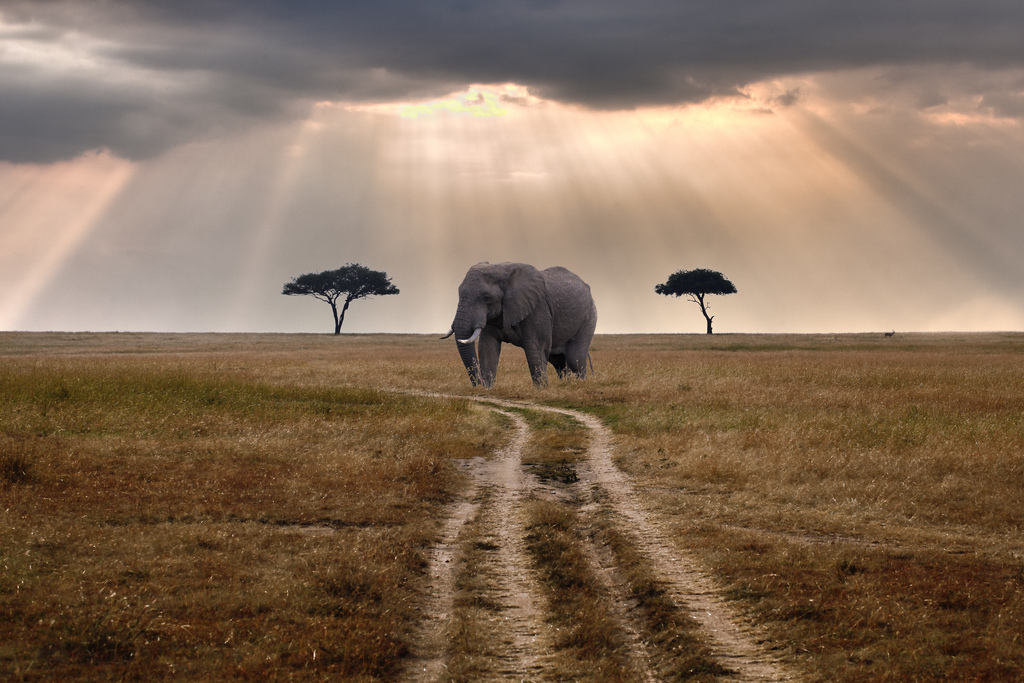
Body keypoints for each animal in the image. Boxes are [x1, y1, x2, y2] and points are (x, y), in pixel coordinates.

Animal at [442, 264, 598, 387]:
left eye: (486, 298)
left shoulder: (537, 309)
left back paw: (580, 386)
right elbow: (487, 348)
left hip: (589, 317)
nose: (479, 384)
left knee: (575, 359)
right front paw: (488, 389)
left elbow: (535, 348)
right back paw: (565, 385)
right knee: (559, 362)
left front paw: (542, 390)